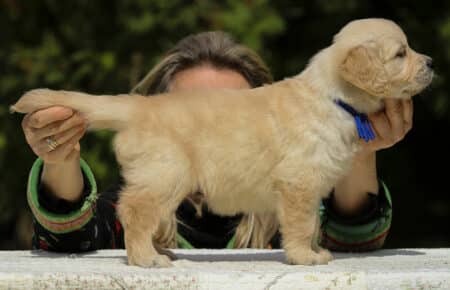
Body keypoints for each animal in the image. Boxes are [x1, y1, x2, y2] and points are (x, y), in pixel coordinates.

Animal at [10, 18, 432, 268]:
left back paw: (157, 251)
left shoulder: (310, 187)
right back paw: (147, 259)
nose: (430, 63)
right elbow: (300, 224)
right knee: (133, 212)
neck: (333, 97)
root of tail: (140, 106)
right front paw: (304, 257)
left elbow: (313, 222)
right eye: (400, 53)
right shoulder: (298, 182)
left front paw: (315, 250)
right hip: (164, 174)